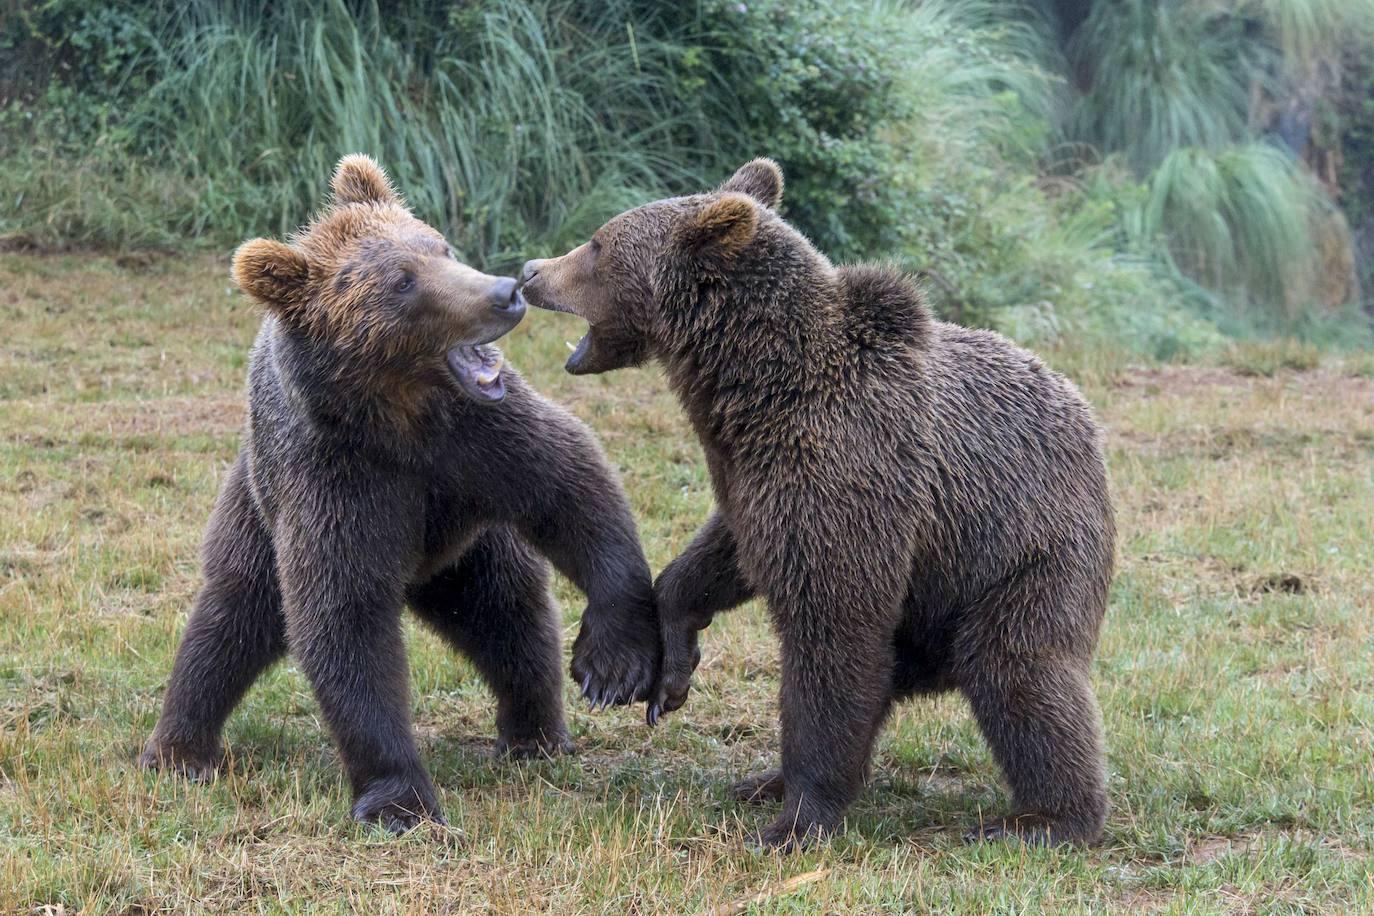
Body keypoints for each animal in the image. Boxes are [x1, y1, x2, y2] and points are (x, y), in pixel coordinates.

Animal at [139, 155, 659, 829]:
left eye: (440, 246)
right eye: (402, 283)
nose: (506, 292)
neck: (400, 420)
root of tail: (422, 572)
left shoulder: (478, 445)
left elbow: (573, 485)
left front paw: (614, 659)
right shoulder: (341, 482)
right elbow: (345, 622)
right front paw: (400, 798)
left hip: (469, 547)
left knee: (507, 614)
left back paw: (535, 734)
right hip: (258, 507)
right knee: (232, 614)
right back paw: (180, 749)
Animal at [522, 159, 1115, 851]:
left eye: (595, 244)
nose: (531, 270)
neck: (755, 386)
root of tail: (1084, 418)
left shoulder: (850, 472)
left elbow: (833, 636)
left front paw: (794, 821)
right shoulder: (757, 476)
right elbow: (725, 552)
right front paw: (672, 670)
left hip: (1023, 551)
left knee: (1018, 669)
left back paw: (1046, 818)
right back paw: (763, 780)